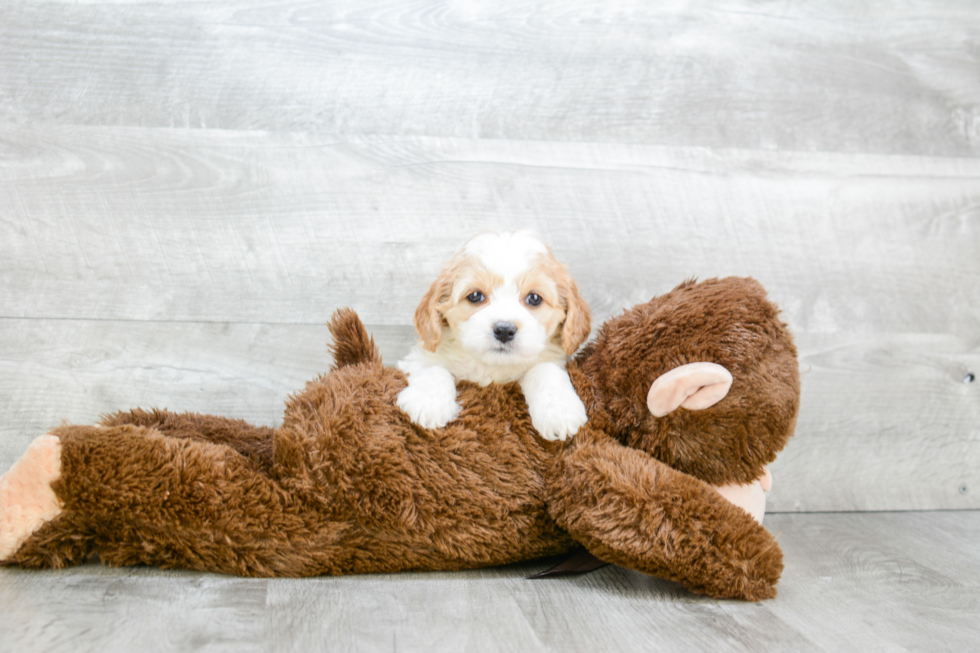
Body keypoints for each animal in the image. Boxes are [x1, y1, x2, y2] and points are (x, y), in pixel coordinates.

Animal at [396, 228, 588, 438]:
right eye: (475, 296)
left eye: (534, 298)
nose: (504, 330)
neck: (493, 367)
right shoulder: (418, 356)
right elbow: (433, 367)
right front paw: (427, 404)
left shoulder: (554, 358)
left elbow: (545, 369)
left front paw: (560, 412)